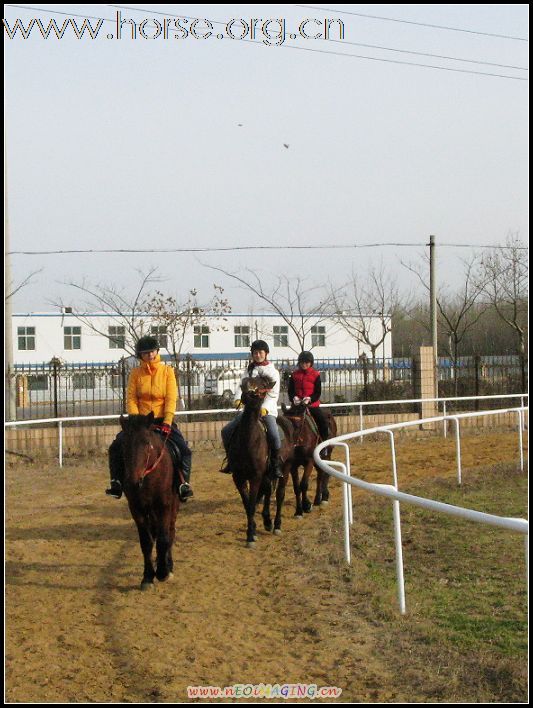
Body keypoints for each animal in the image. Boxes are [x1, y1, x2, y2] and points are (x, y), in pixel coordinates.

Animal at [119, 412, 180, 588]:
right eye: (124, 444)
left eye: (147, 443)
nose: (132, 482)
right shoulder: (136, 508)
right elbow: (146, 542)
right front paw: (147, 577)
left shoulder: (164, 506)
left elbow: (164, 538)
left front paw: (162, 572)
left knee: (170, 532)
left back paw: (168, 566)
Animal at [225, 376, 294, 548]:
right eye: (243, 383)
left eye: (262, 386)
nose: (247, 395)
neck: (248, 440)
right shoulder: (238, 477)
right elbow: (247, 503)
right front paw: (254, 529)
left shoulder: (255, 476)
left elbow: (251, 504)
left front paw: (250, 536)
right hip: (267, 474)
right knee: (268, 491)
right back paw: (267, 521)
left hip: (286, 467)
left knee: (280, 494)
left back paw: (277, 525)